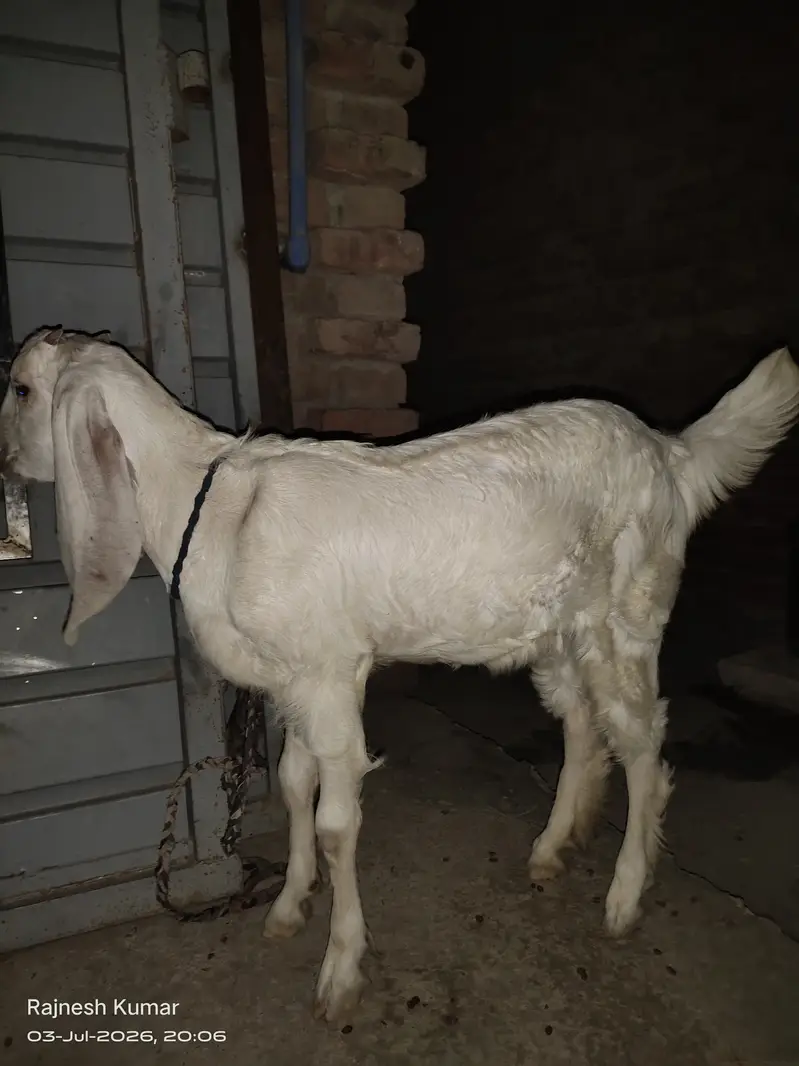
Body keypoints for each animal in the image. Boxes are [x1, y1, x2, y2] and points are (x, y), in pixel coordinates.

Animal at [1, 327, 798, 1025]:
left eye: (20, 388)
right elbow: (292, 782)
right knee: (580, 723)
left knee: (643, 745)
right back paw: (551, 847)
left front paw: (340, 970)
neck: (215, 510)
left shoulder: (329, 674)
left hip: (627, 614)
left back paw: (625, 895)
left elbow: (335, 822)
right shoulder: (292, 679)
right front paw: (288, 906)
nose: (5, 459)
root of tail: (668, 450)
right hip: (556, 630)